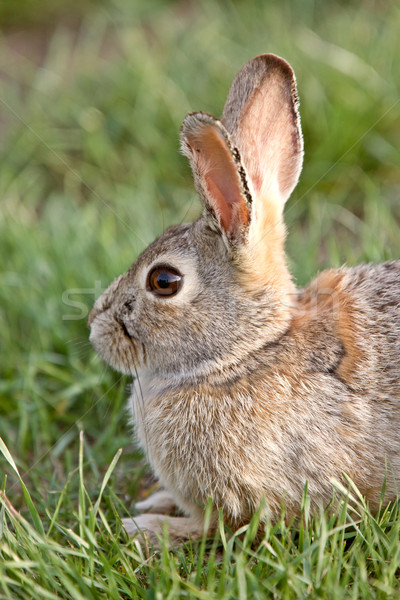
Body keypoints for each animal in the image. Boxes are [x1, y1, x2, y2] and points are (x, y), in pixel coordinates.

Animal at [89, 55, 400, 544]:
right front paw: (155, 502)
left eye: (163, 281)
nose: (94, 328)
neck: (247, 355)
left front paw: (147, 525)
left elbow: (212, 527)